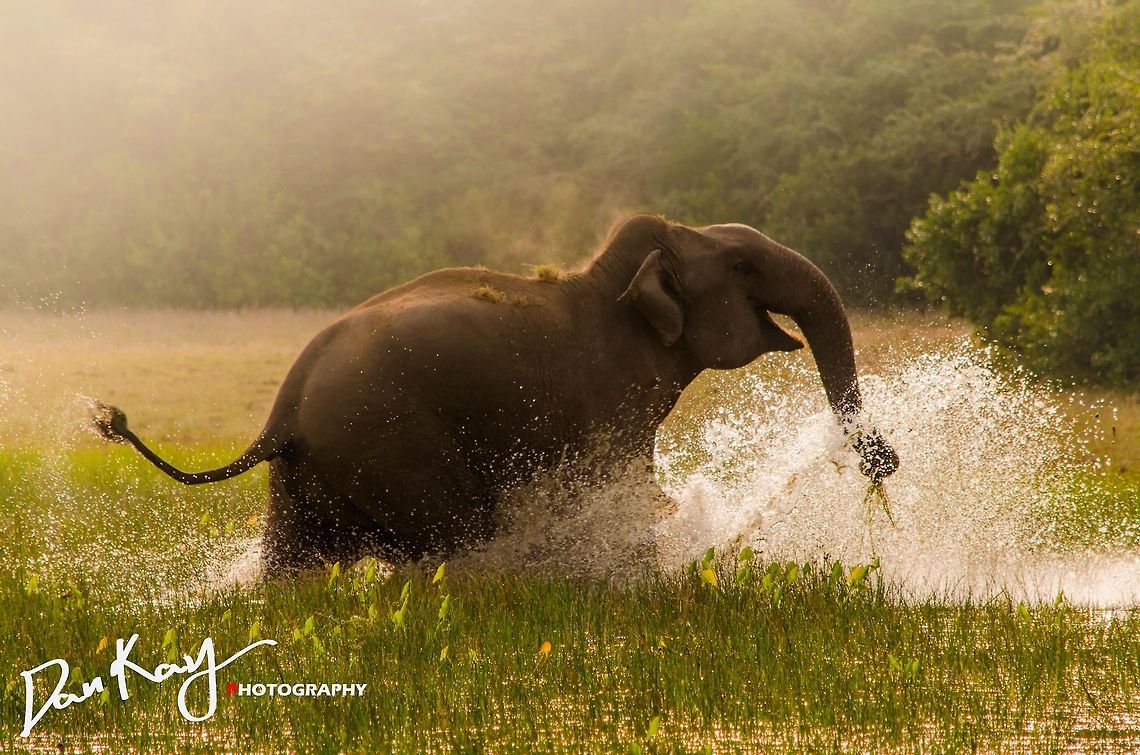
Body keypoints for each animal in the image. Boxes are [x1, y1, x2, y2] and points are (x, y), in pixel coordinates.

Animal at [92, 214, 898, 574]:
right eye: (738, 264)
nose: (882, 458)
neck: (614, 284)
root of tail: (281, 411)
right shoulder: (604, 403)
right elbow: (624, 490)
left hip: (308, 477)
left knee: (295, 565)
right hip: (390, 444)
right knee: (453, 541)